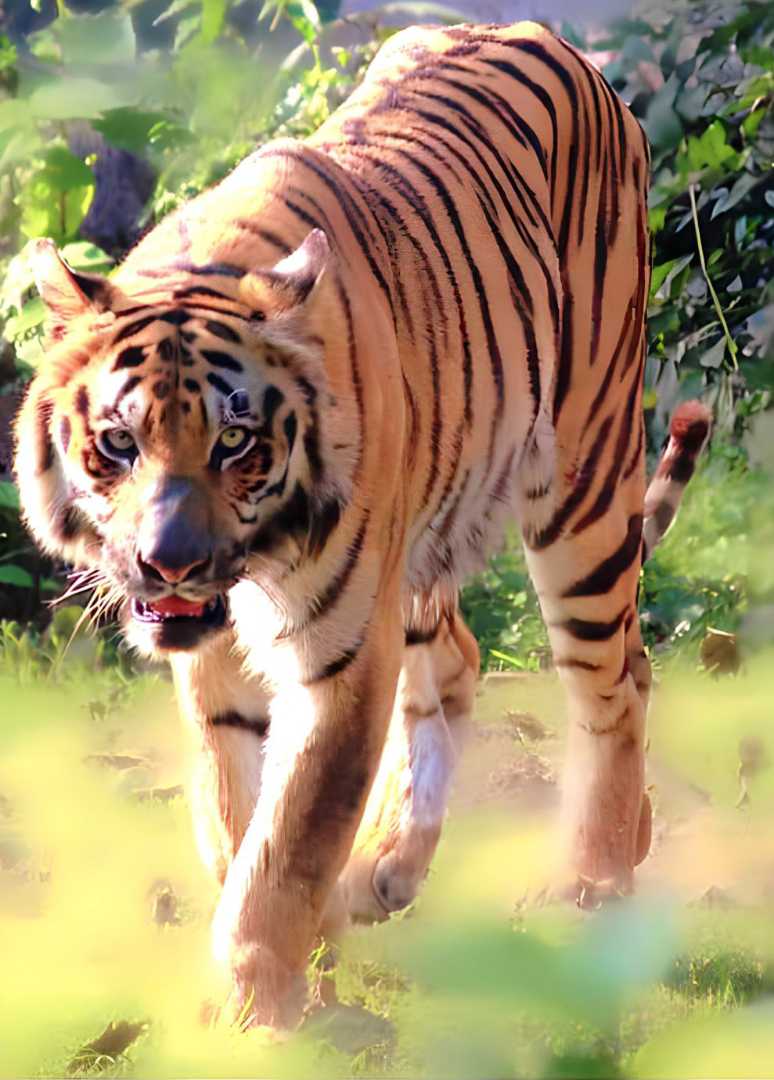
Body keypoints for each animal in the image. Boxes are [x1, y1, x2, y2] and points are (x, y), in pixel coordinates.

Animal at [14, 21, 712, 1028]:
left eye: (234, 441)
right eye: (118, 441)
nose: (170, 564)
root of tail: (548, 38)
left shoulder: (341, 654)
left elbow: (292, 833)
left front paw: (247, 1014)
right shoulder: (220, 669)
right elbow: (235, 819)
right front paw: (303, 958)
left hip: (583, 473)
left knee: (614, 680)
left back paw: (595, 877)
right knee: (460, 658)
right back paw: (386, 866)